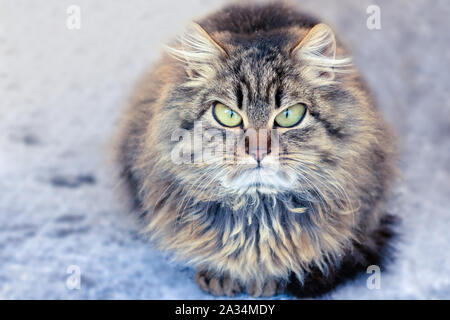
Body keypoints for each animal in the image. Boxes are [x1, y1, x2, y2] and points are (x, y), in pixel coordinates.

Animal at [116, 2, 398, 298]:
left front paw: (265, 282)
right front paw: (220, 276)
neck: (257, 215)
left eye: (289, 115)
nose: (259, 151)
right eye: (228, 115)